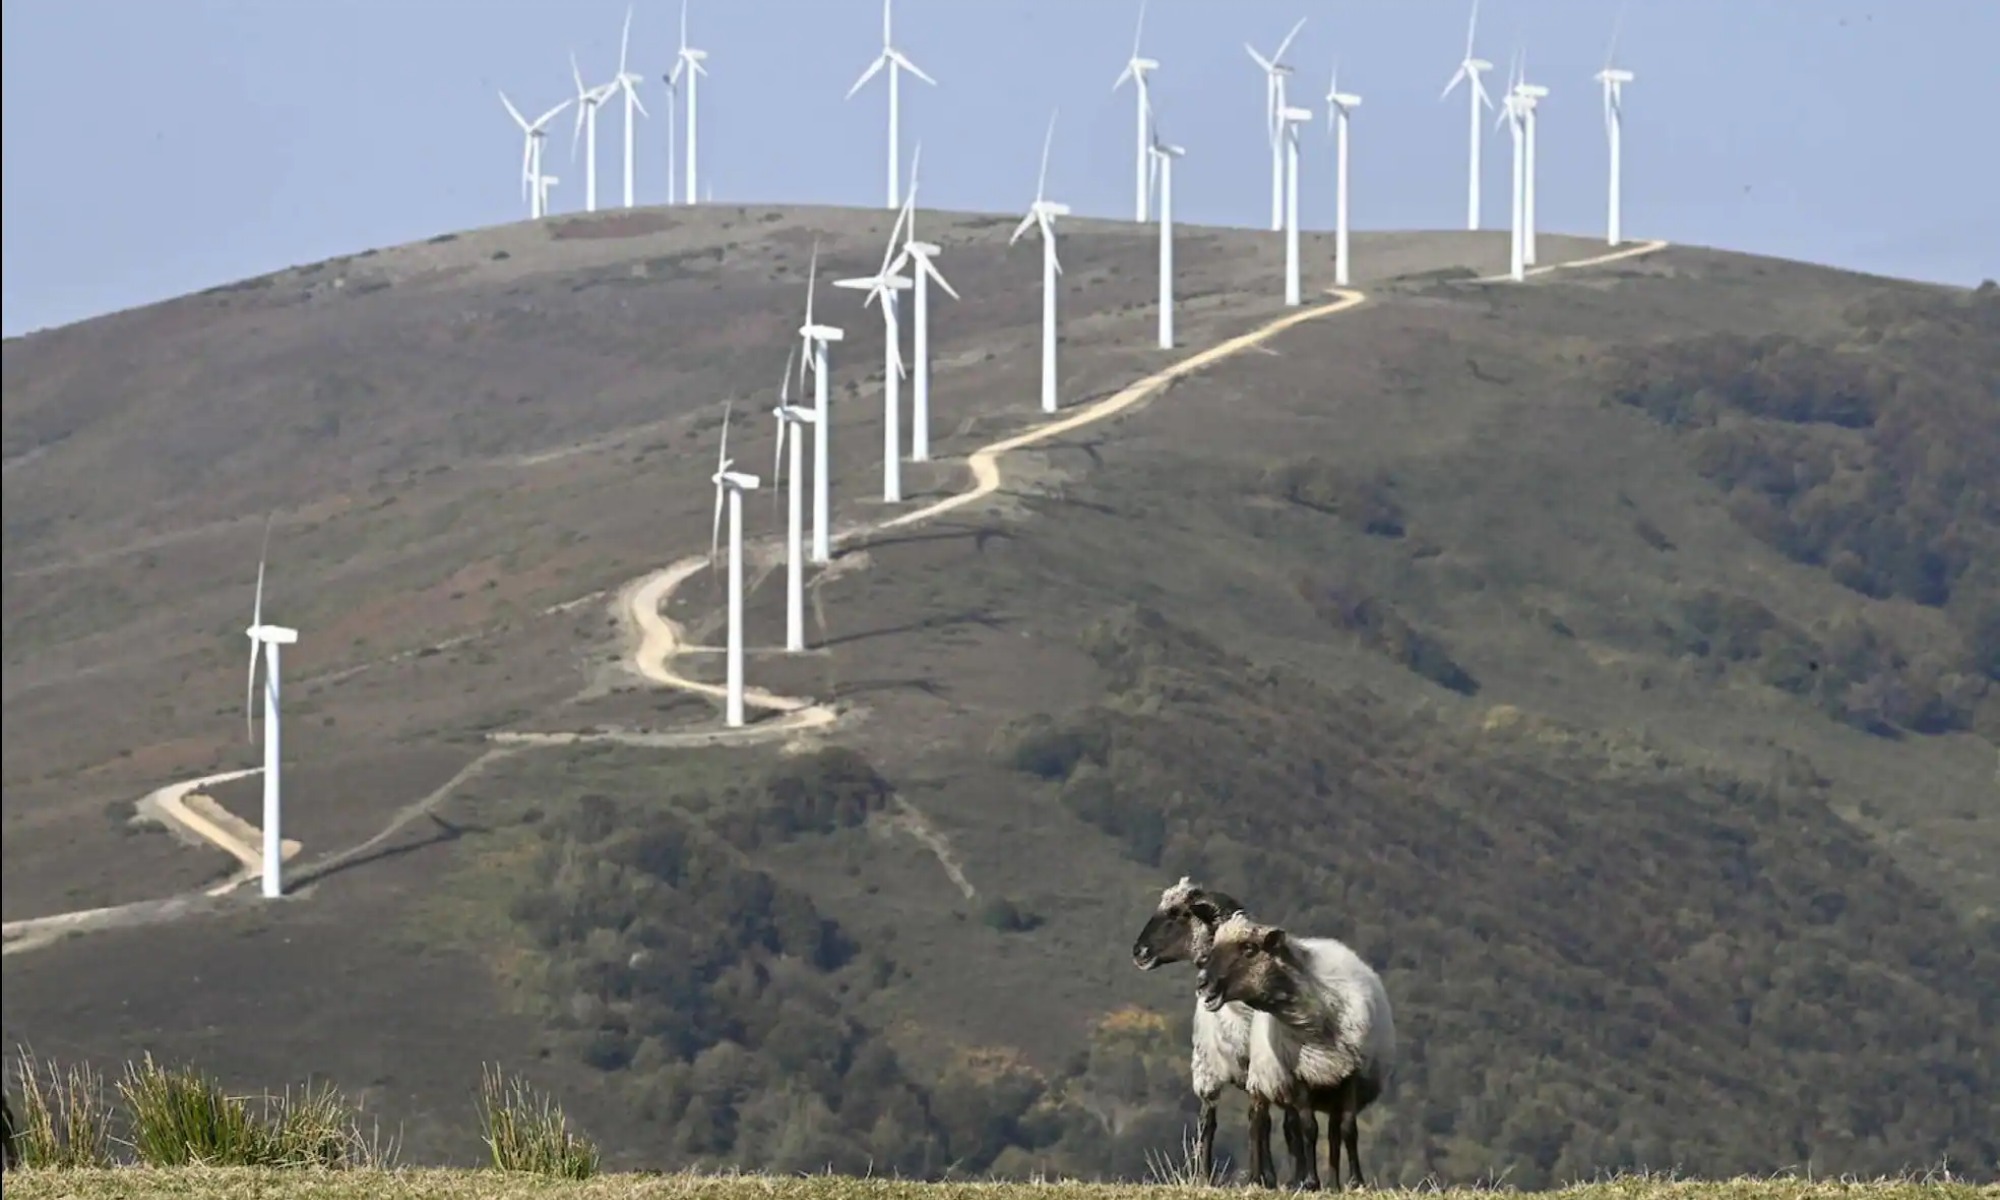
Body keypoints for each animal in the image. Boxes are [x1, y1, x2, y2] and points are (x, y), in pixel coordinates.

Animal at [1128, 876, 1312, 1184]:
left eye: (1179, 913)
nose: (1139, 951)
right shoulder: (1206, 1071)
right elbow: (1208, 1123)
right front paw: (1205, 1178)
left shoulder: (1258, 1070)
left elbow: (1258, 1122)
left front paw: (1257, 1179)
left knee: (1290, 1122)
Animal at [1192, 916, 1400, 1184]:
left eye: (1249, 949)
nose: (1203, 983)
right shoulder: (1300, 1076)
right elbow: (1309, 1128)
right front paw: (1311, 1181)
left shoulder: (1348, 1073)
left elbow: (1347, 1129)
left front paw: (1355, 1181)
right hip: (1222, 1069)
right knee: (1241, 1121)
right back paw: (1236, 1177)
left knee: (1322, 1130)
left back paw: (1327, 1182)